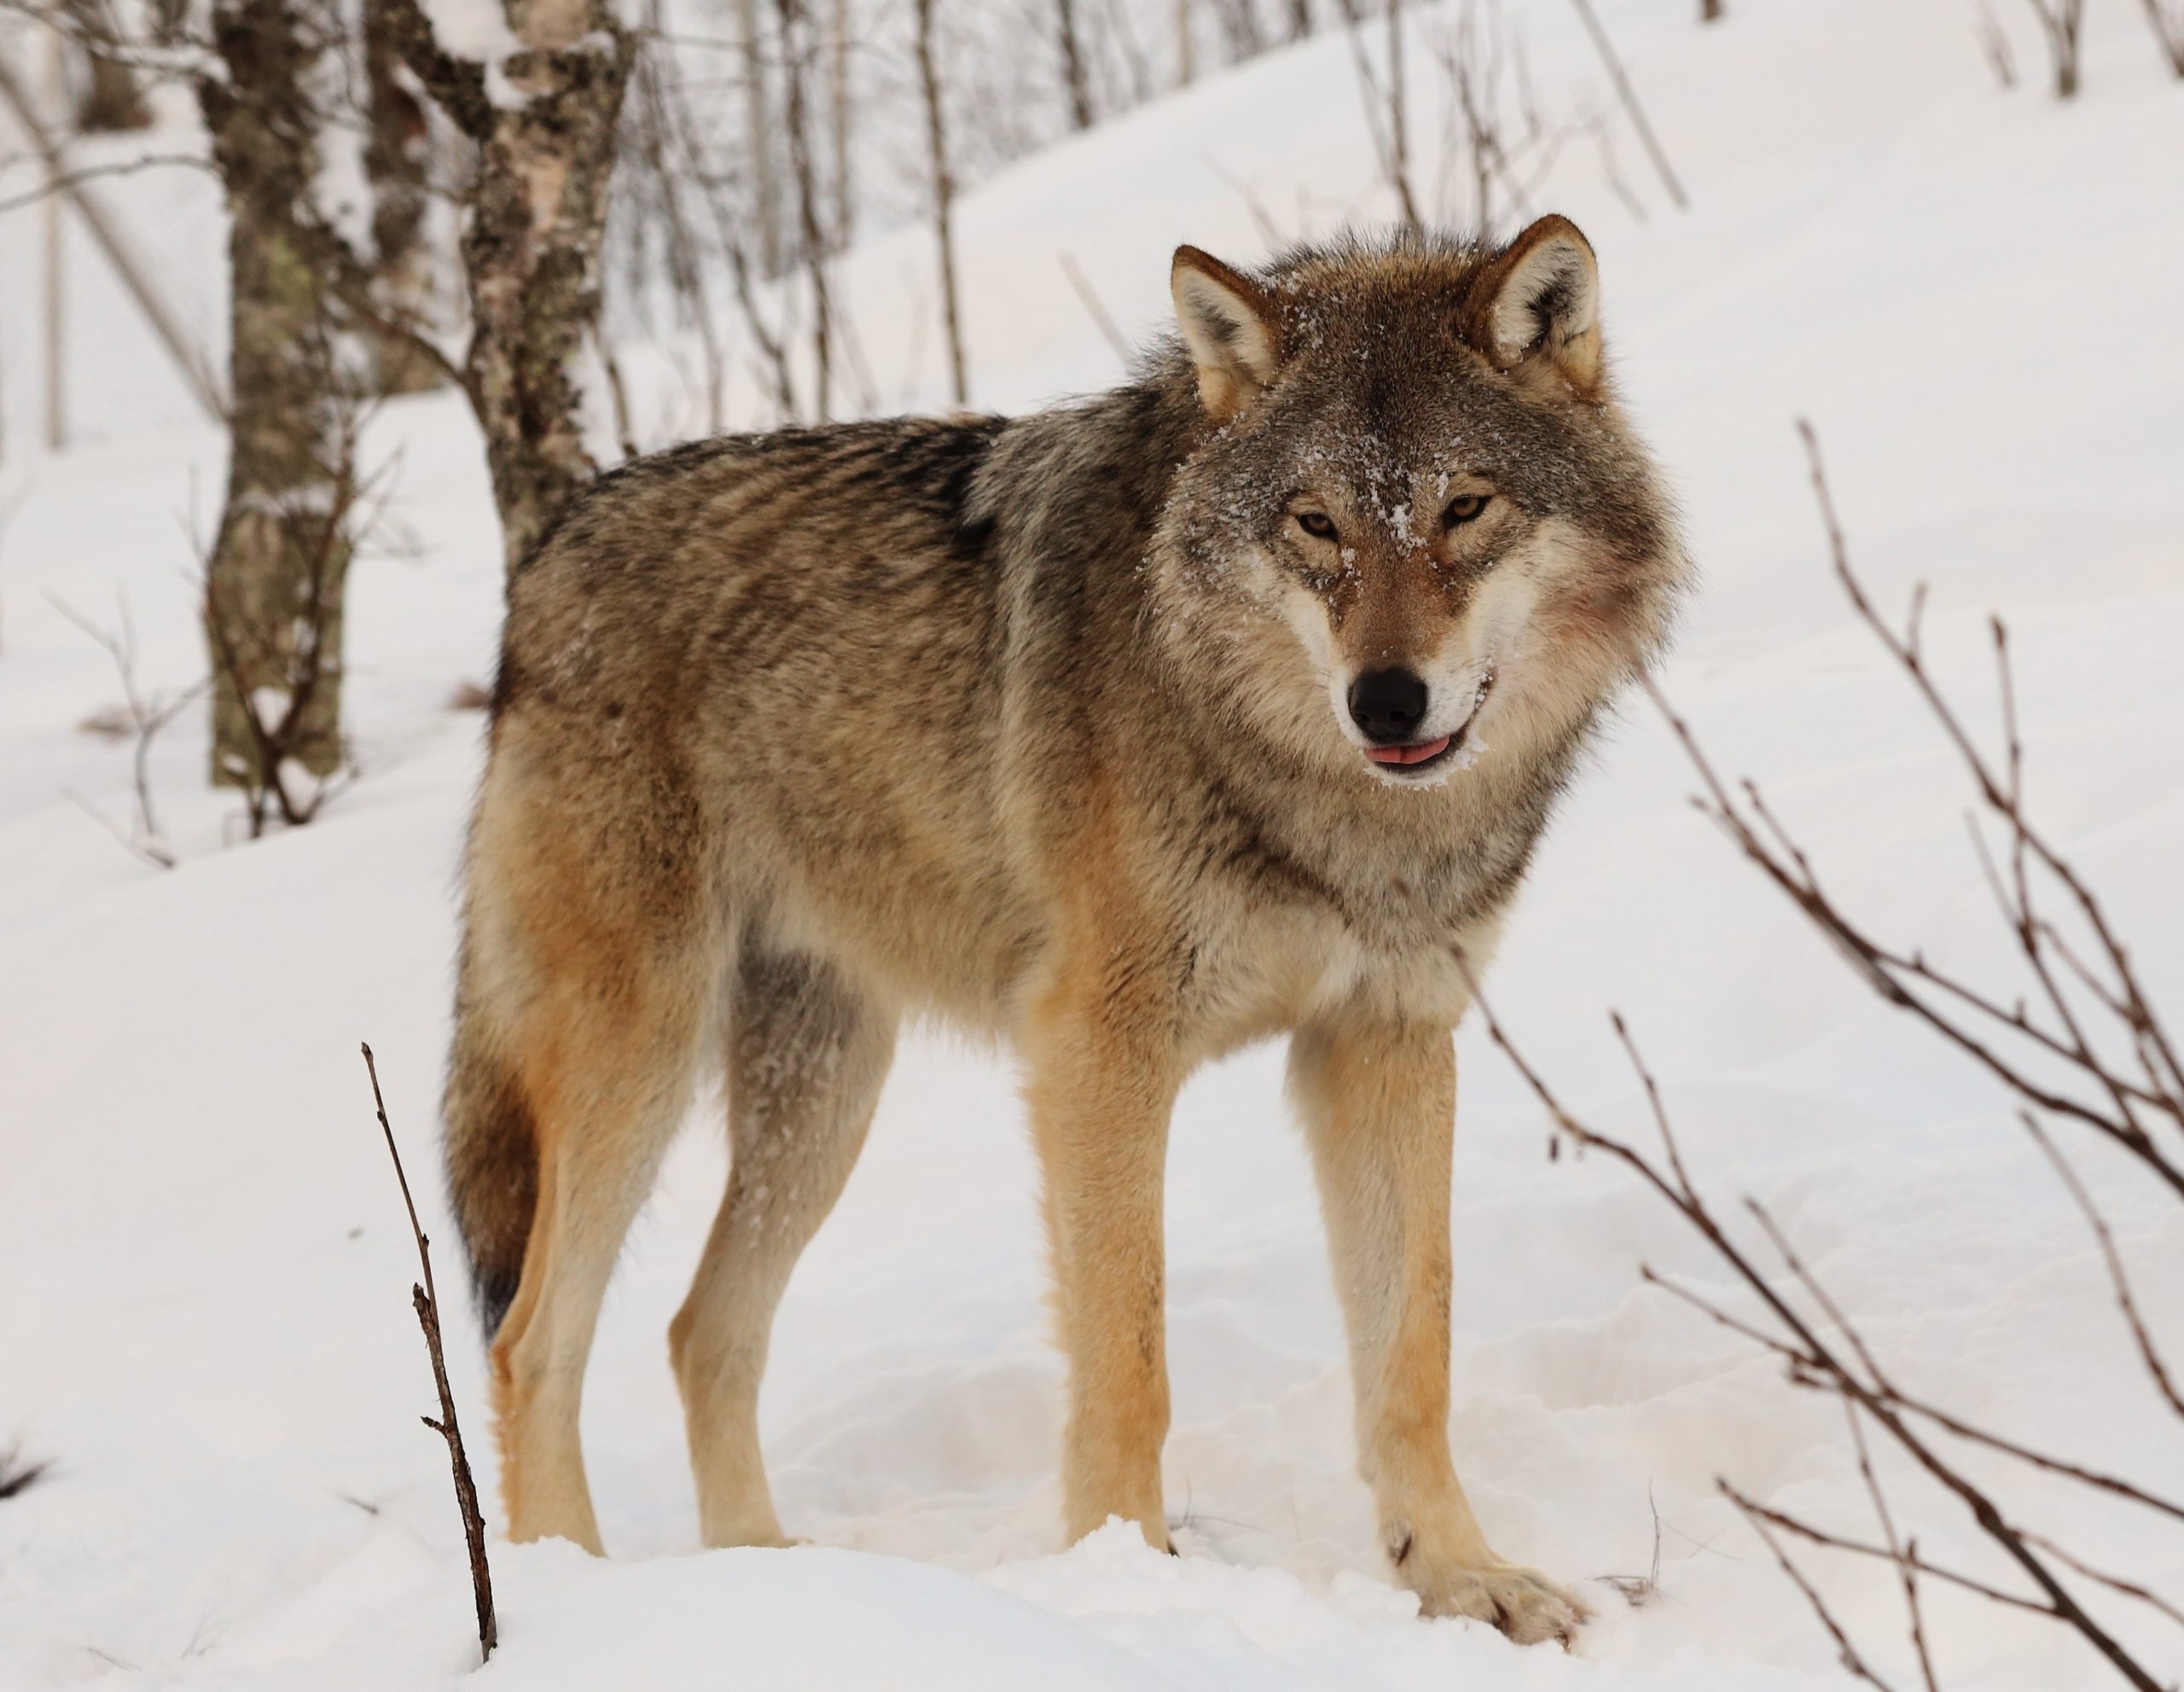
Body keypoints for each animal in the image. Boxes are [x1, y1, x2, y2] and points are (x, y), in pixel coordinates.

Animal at [444, 214, 1687, 1645]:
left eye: (1464, 507)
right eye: (1316, 524)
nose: (1386, 700)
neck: (1320, 798)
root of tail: (547, 553)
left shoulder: (1384, 1041)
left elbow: (1410, 1353)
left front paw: (1461, 1576)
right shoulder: (1099, 1051)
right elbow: (1130, 1356)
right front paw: (1127, 1580)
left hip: (823, 1095)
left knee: (703, 1329)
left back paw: (778, 1581)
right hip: (636, 1065)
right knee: (532, 1339)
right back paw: (575, 1595)